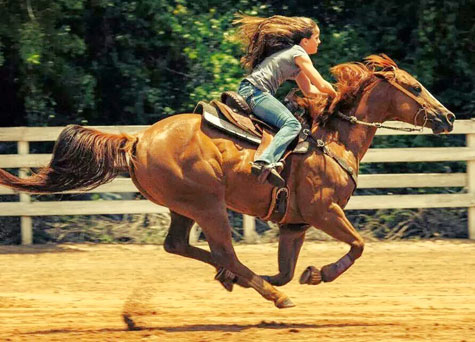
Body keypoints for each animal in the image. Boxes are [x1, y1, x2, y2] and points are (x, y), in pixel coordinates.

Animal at [0, 54, 454, 308]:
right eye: (415, 87)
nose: (448, 116)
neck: (333, 138)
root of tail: (138, 139)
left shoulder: (295, 224)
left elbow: (285, 267)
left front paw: (287, 275)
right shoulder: (324, 211)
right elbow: (358, 246)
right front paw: (317, 275)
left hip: (183, 207)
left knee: (179, 246)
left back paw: (236, 280)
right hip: (209, 206)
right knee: (225, 253)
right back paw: (273, 296)